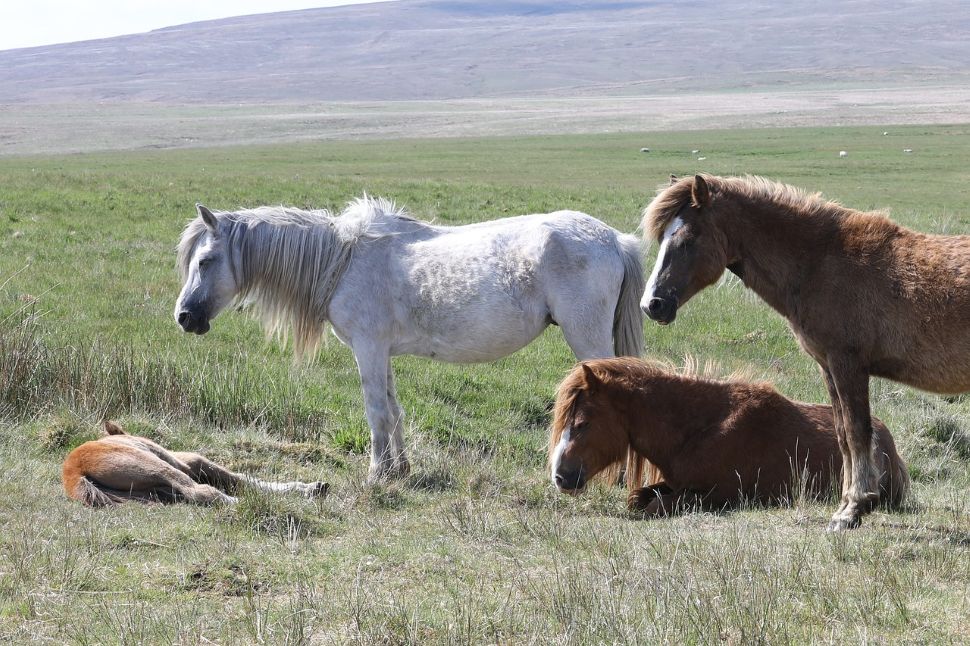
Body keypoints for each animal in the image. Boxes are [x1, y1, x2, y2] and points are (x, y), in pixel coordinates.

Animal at [63, 421, 328, 507]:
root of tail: (72, 470)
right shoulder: (189, 461)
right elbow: (241, 479)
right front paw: (307, 488)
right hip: (156, 467)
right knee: (201, 491)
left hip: (147, 491)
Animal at [173, 197, 645, 481]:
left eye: (206, 260)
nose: (183, 317)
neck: (343, 260)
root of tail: (615, 239)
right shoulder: (381, 352)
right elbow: (394, 409)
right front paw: (399, 468)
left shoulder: (367, 348)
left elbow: (376, 412)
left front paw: (376, 475)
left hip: (587, 339)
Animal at [549, 358, 908, 516]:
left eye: (581, 423)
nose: (560, 477)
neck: (699, 430)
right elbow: (639, 497)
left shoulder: (719, 494)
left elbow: (656, 506)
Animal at [640, 173, 966, 530]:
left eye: (687, 240)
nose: (652, 304)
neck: (820, 262)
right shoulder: (829, 368)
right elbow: (842, 434)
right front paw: (849, 503)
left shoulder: (847, 365)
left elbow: (857, 433)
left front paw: (853, 509)